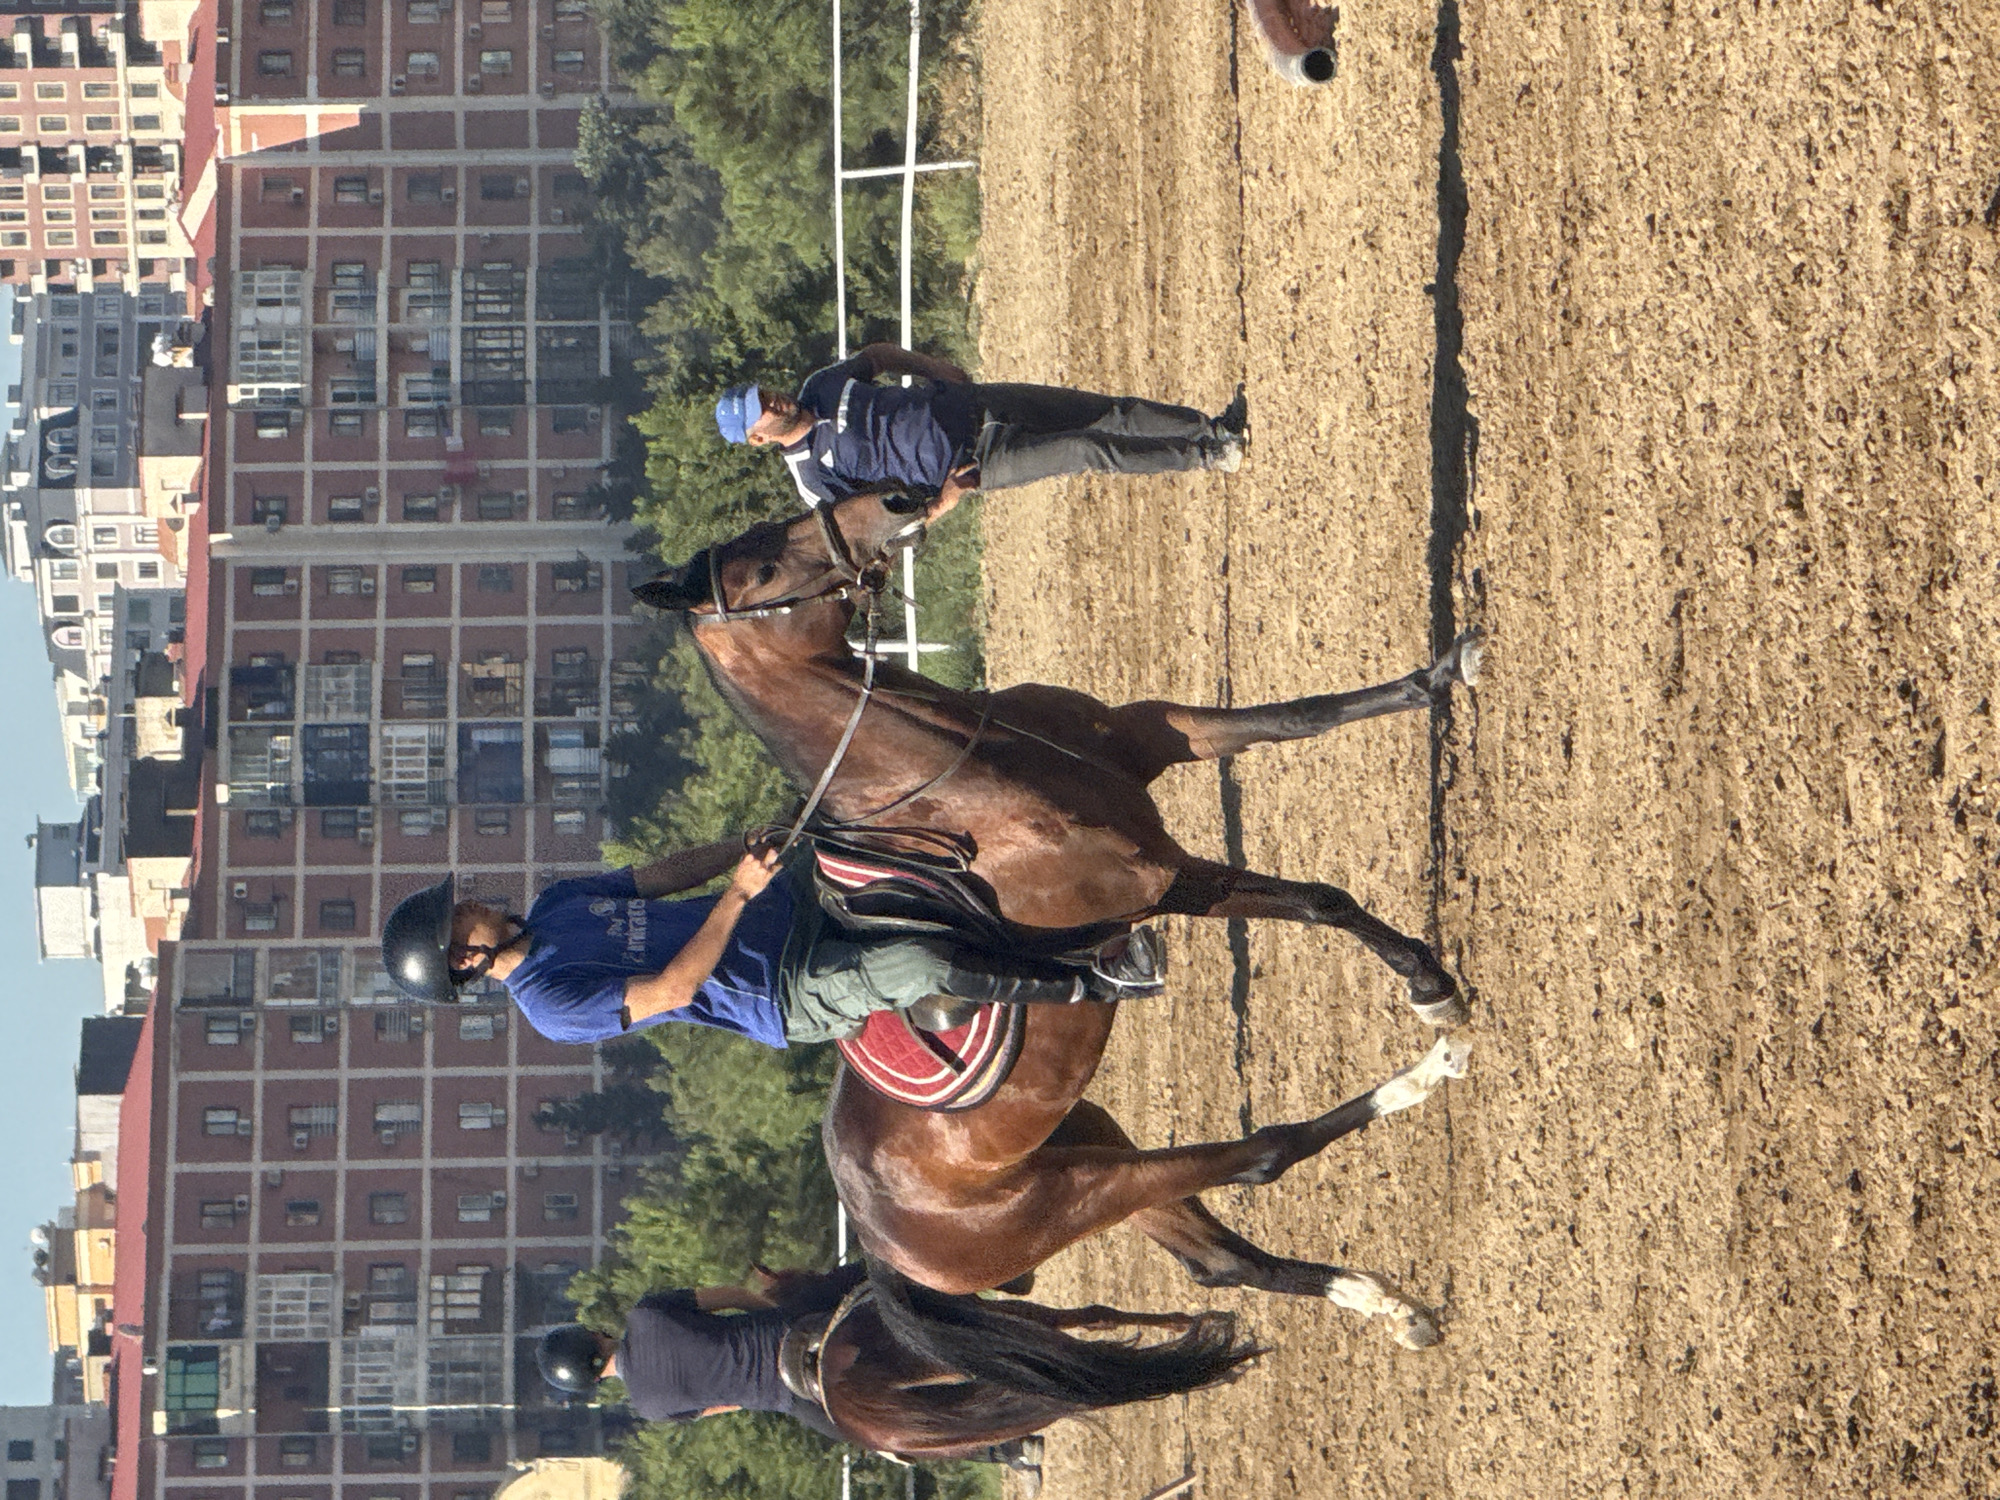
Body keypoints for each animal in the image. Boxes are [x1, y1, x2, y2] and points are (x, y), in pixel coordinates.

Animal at [635, 491, 1479, 1345]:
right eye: (765, 570)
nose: (889, 502)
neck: (972, 774)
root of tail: (875, 1243)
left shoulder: (1160, 736)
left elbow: (1300, 718)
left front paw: (1443, 673)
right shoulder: (1166, 882)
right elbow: (1321, 901)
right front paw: (1432, 989)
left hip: (1085, 1140)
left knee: (1220, 1261)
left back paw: (1387, 1305)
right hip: (1075, 1193)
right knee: (1261, 1158)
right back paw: (1426, 1074)